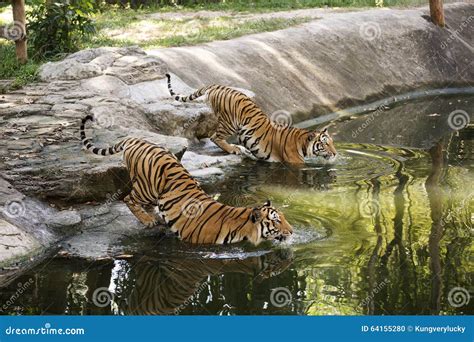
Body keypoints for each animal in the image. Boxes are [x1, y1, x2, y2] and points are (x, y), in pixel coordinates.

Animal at [79, 116, 292, 244]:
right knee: (128, 199)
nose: (291, 231)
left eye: (284, 218)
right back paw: (148, 220)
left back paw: (155, 217)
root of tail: (136, 139)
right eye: (276, 221)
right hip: (146, 187)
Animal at [167, 73, 336, 164]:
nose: (335, 153)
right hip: (230, 123)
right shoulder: (295, 163)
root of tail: (218, 86)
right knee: (215, 136)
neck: (303, 143)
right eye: (324, 144)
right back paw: (233, 149)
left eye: (332, 143)